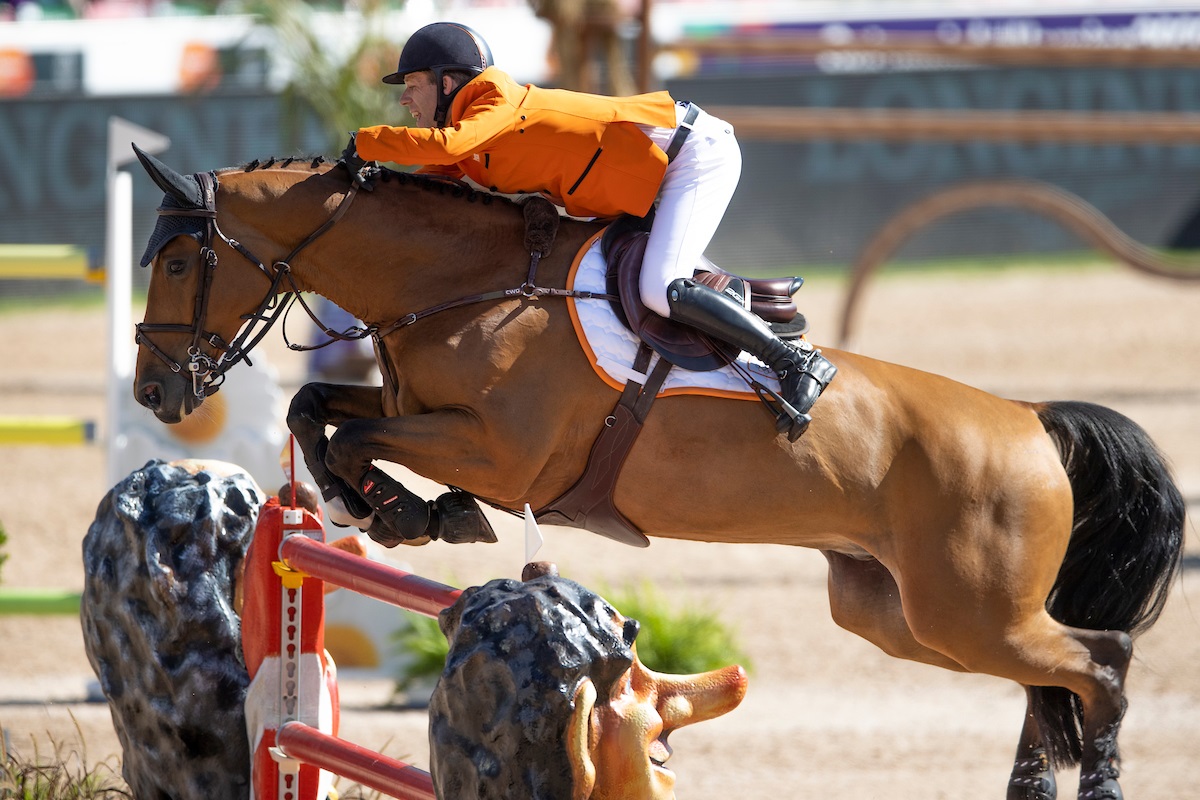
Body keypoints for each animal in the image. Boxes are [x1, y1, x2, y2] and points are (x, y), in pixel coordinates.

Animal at [129, 145, 1180, 800]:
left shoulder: (498, 450)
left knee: (1100, 664)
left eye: (178, 261)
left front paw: (411, 513)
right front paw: (383, 508)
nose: (155, 389)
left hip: (969, 611)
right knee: (1054, 683)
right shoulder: (417, 413)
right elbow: (319, 412)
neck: (464, 285)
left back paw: (1099, 782)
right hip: (900, 617)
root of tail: (1032, 423)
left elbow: (355, 438)